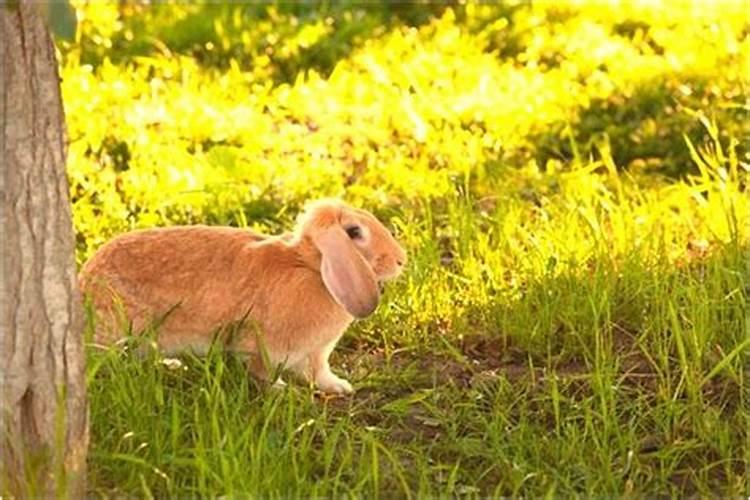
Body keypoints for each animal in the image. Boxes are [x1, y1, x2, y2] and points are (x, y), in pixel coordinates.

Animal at [80, 197, 408, 392]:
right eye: (354, 232)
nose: (400, 260)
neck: (310, 268)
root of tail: (84, 285)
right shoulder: (261, 345)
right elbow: (262, 371)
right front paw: (281, 391)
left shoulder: (317, 351)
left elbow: (319, 371)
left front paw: (340, 387)